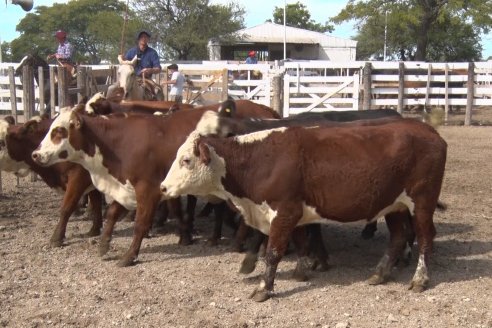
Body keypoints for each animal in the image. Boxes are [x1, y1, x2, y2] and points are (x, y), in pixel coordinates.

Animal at [0, 115, 103, 246]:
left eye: (0, 142)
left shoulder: (78, 177)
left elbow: (66, 207)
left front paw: (57, 238)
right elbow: (96, 203)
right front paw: (94, 230)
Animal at [30, 100, 278, 266]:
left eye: (59, 131)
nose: (36, 154)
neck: (120, 142)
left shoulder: (147, 190)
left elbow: (140, 223)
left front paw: (129, 256)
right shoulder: (126, 187)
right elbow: (112, 213)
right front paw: (103, 244)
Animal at [162, 117, 450, 300]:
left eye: (186, 160)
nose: (163, 187)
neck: (259, 160)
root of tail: (428, 130)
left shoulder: (284, 212)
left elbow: (274, 253)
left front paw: (264, 289)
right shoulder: (295, 213)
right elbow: (300, 242)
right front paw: (301, 272)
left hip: (422, 202)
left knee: (425, 237)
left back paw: (420, 279)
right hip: (395, 205)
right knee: (399, 236)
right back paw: (380, 273)